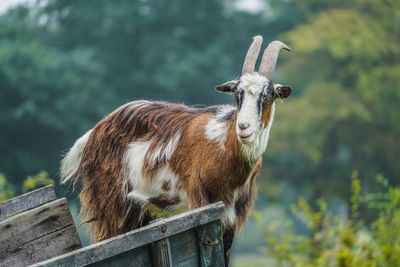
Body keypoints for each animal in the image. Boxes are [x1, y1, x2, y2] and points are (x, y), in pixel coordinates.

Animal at [61, 35, 292, 266]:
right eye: (237, 94)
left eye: (267, 96)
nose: (243, 128)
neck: (222, 147)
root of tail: (94, 132)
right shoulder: (202, 204)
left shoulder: (232, 219)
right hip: (112, 205)